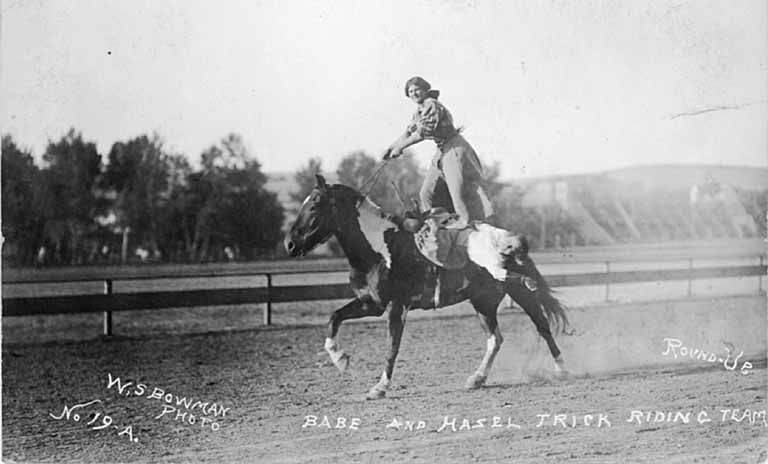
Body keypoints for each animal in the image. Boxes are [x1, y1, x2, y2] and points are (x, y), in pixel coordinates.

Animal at [284, 174, 568, 398]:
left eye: (315, 205)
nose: (289, 244)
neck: (379, 250)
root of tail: (509, 238)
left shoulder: (396, 306)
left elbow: (392, 347)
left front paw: (380, 387)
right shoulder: (371, 304)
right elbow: (334, 317)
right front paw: (340, 359)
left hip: (516, 292)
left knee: (542, 325)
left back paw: (562, 369)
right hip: (482, 302)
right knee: (495, 339)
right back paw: (477, 379)